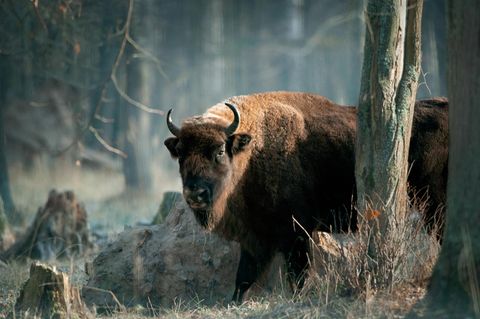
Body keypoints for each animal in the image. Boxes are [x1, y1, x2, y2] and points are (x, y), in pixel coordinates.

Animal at [164, 91, 446, 304]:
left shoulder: (296, 234)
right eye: (180, 153)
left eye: (220, 150)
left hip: (434, 208)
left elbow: (296, 276)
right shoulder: (254, 237)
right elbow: (243, 278)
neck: (253, 153)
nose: (195, 193)